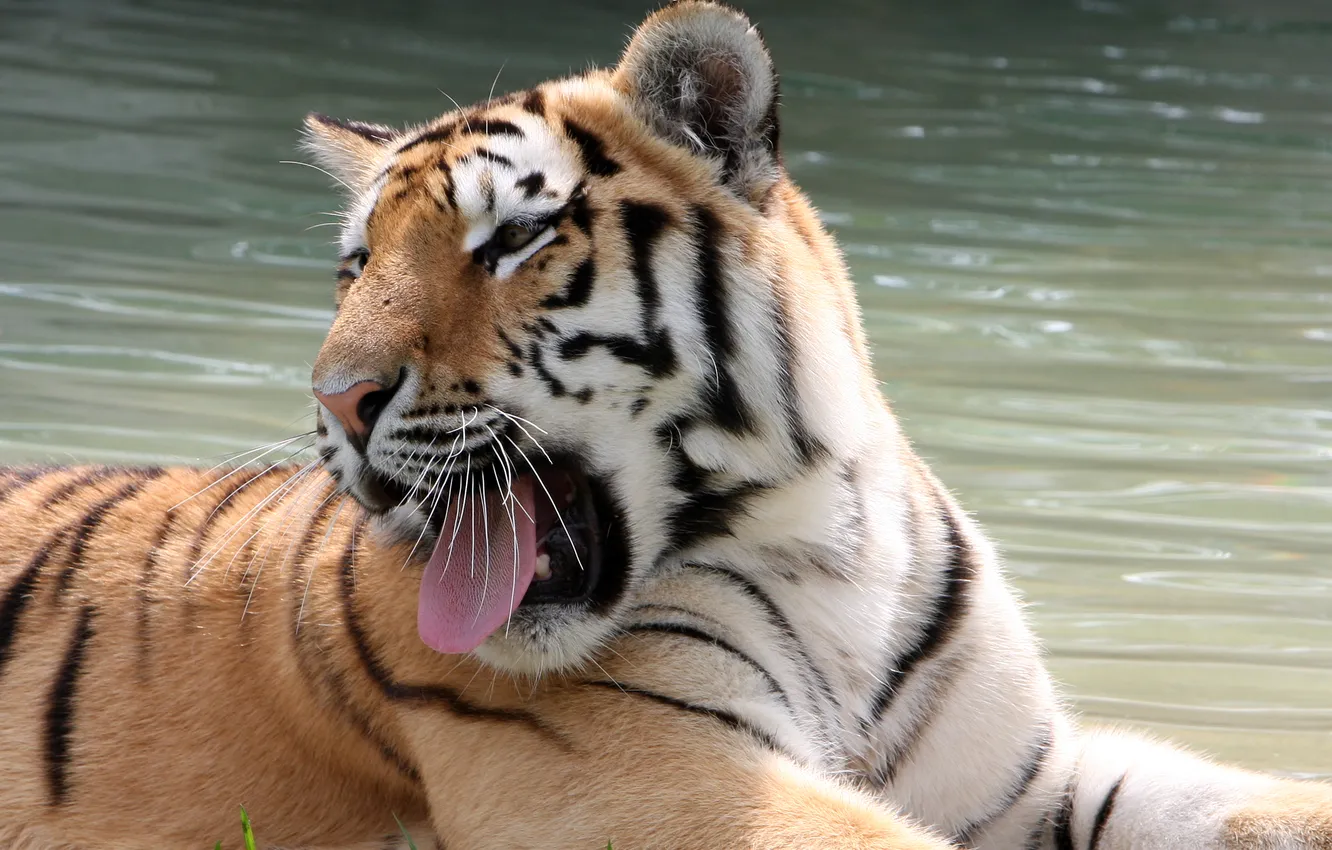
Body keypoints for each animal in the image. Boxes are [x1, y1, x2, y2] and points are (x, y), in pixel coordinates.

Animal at [1, 2, 1329, 849]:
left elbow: (1243, 800)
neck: (825, 540)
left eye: (511, 238)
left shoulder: (1023, 778)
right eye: (356, 265)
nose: (336, 397)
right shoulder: (657, 783)